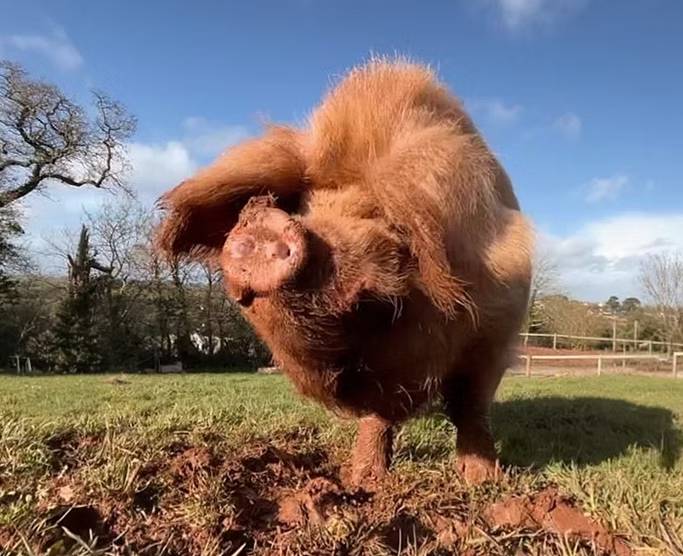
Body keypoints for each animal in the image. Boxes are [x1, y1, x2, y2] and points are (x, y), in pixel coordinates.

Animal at [157, 59, 533, 486]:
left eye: (382, 225)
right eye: (305, 208)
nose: (265, 226)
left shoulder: (493, 333)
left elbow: (471, 406)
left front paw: (482, 480)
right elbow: (378, 419)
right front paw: (362, 481)